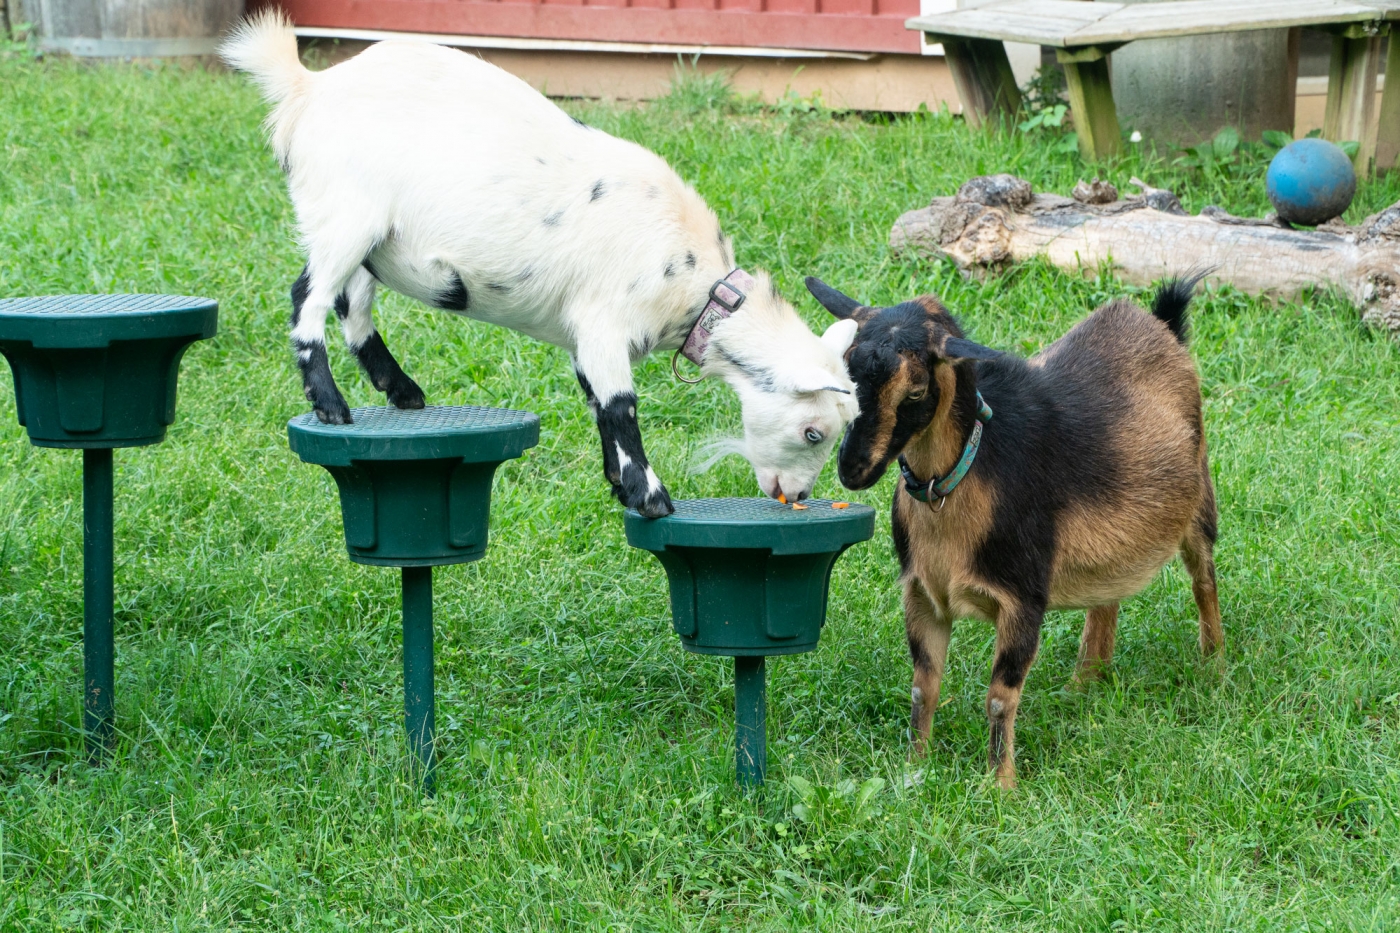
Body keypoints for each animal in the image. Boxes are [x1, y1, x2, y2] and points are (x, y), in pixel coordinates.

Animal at [219, 10, 856, 512]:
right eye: (813, 432)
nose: (797, 496)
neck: (696, 284)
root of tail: (307, 88)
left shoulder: (584, 338)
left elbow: (597, 403)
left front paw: (618, 486)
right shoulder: (604, 323)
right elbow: (621, 407)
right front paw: (650, 496)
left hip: (369, 237)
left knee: (352, 303)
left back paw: (401, 391)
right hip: (346, 213)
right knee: (308, 299)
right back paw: (331, 406)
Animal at [806, 275, 1220, 784]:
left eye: (916, 393)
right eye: (843, 377)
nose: (853, 468)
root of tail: (1160, 325)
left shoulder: (1024, 598)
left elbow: (1000, 698)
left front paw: (999, 786)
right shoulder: (922, 594)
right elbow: (923, 686)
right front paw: (913, 770)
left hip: (1200, 497)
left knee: (1204, 578)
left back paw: (1215, 669)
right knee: (1108, 595)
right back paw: (1084, 683)